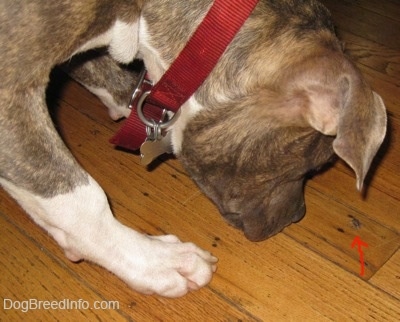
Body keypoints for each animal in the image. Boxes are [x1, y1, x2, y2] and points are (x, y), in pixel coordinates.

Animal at [0, 0, 388, 296]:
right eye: (314, 167)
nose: (298, 216)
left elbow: (111, 80)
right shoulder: (12, 90)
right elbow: (78, 199)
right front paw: (154, 261)